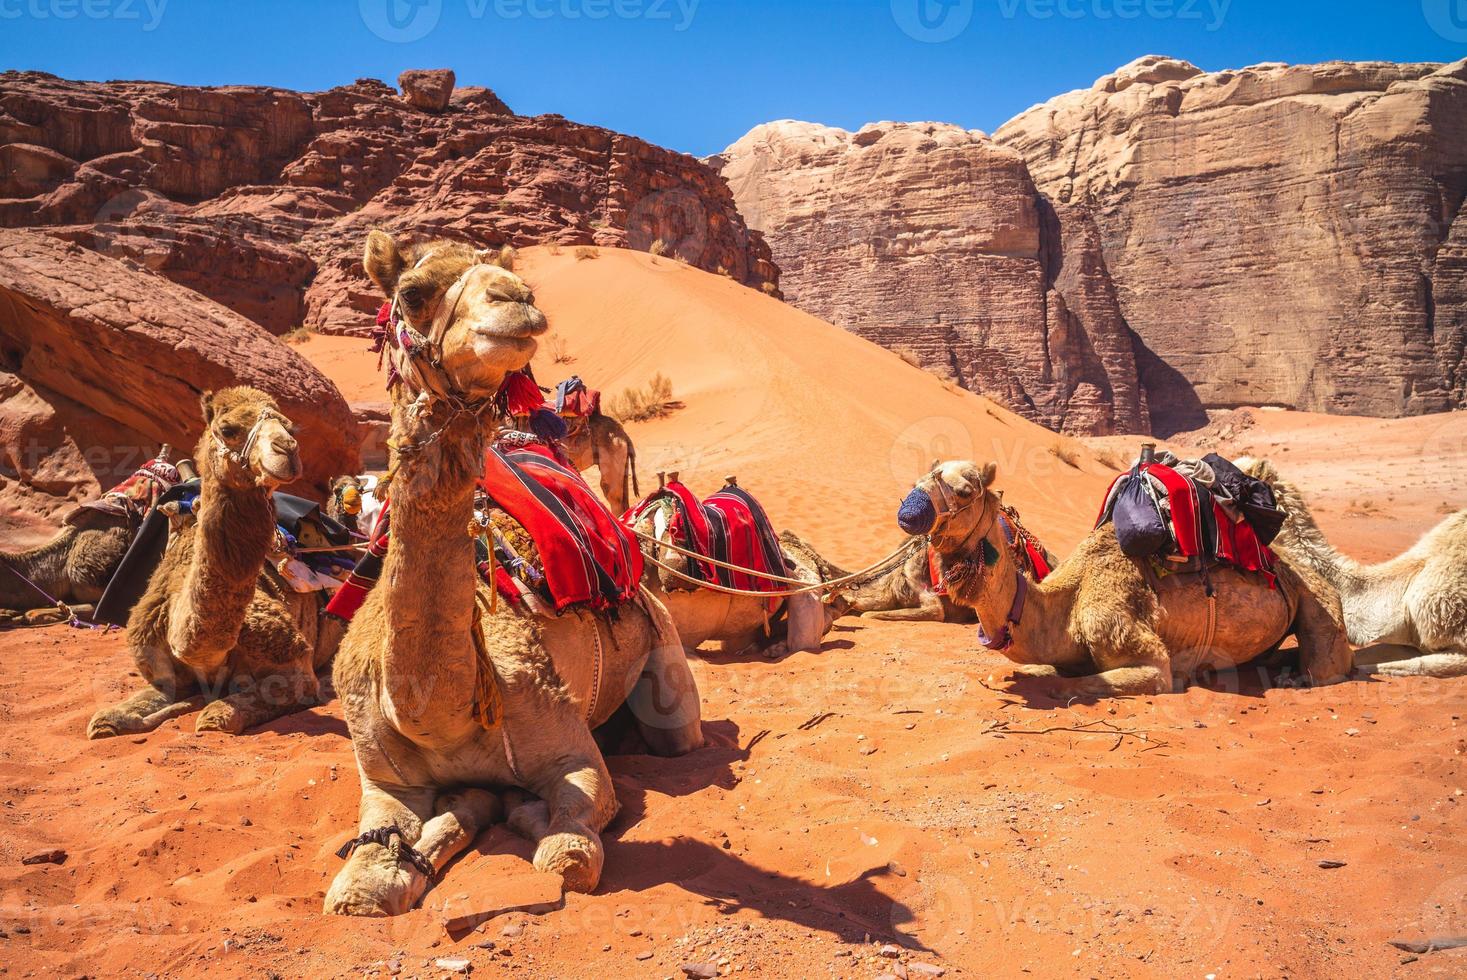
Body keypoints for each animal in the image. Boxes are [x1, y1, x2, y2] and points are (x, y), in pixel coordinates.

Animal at [86, 387, 321, 739]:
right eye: (227, 429)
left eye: (289, 427)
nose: (287, 450)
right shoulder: (161, 672)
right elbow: (115, 716)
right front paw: (111, 721)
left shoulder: (297, 668)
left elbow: (219, 716)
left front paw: (210, 711)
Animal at [327, 231, 704, 921]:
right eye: (411, 292)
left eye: (511, 278)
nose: (516, 300)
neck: (436, 711)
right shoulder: (383, 780)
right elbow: (358, 889)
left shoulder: (571, 752)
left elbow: (568, 852)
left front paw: (520, 817)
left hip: (665, 652)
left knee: (676, 734)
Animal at [897, 460, 1355, 695]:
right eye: (918, 478)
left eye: (964, 490)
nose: (909, 511)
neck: (1064, 606)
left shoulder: (1138, 650)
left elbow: (1081, 684)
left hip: (1317, 598)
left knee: (1325, 662)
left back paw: (1296, 675)